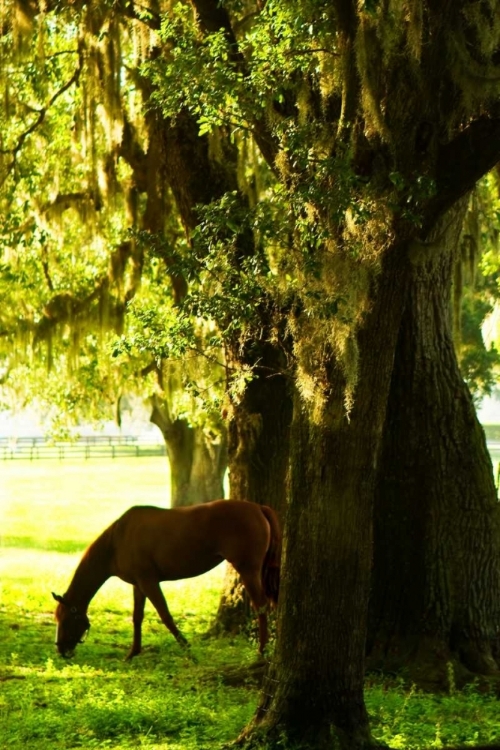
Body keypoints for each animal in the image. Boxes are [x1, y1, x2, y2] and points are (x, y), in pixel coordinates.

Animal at [55, 502, 284, 660]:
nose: (61, 649)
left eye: (65, 619)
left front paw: (188, 651)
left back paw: (262, 651)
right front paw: (133, 653)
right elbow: (137, 617)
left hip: (248, 570)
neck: (118, 541)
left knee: (261, 606)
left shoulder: (149, 581)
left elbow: (165, 615)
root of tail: (258, 507)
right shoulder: (138, 585)